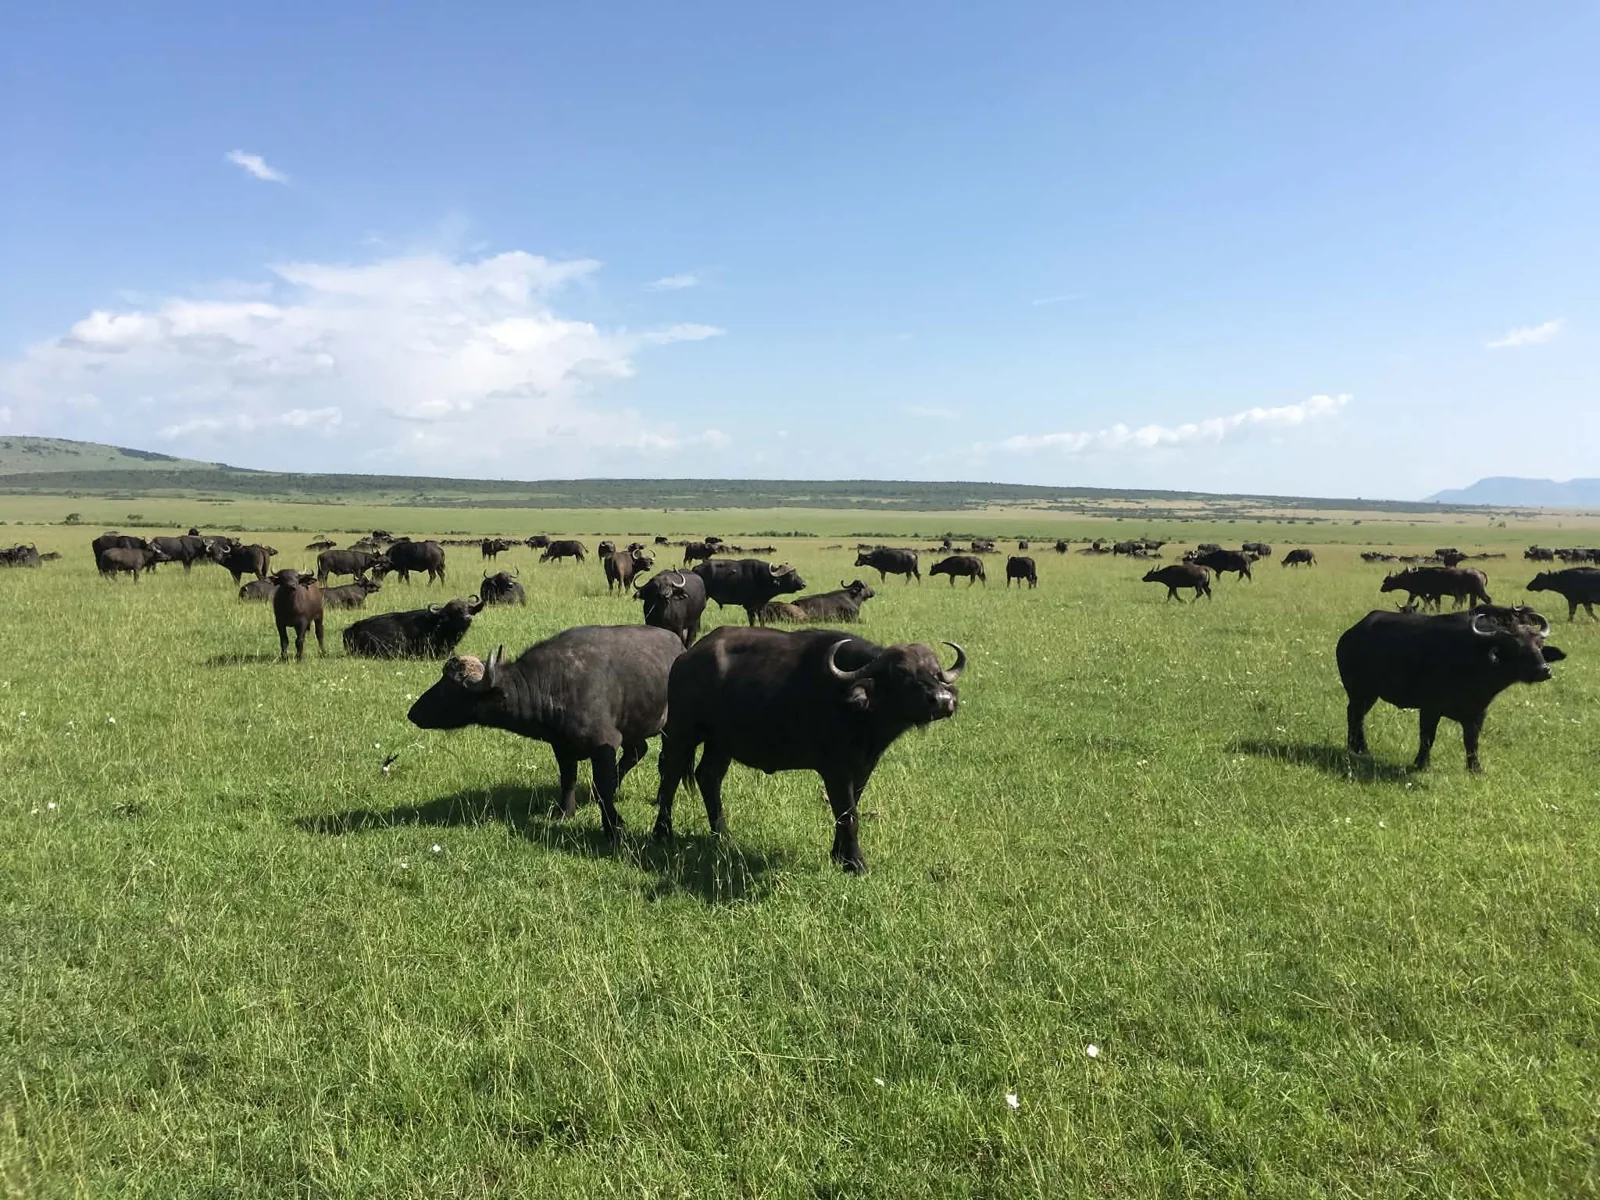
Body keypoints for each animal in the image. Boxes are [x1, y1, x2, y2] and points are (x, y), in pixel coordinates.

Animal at [409, 625, 685, 836]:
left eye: (449, 689)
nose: (412, 713)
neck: (553, 684)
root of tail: (680, 647)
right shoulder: (561, 746)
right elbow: (568, 779)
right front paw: (565, 812)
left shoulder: (604, 743)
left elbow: (602, 785)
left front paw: (612, 825)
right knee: (638, 750)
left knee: (664, 761)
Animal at [651, 628, 965, 873]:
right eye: (901, 673)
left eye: (936, 672)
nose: (943, 700)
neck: (860, 712)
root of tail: (685, 658)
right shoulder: (835, 769)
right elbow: (849, 815)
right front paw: (856, 864)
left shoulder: (863, 767)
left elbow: (848, 809)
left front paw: (839, 856)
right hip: (681, 733)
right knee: (670, 777)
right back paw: (662, 832)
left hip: (721, 742)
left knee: (708, 776)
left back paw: (723, 834)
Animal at [1337, 605, 1565, 772]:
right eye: (1516, 647)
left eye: (1539, 645)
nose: (1544, 670)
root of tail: (1349, 635)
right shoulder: (1429, 708)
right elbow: (1427, 737)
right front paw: (1422, 764)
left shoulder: (1478, 713)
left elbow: (1471, 742)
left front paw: (1475, 768)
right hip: (1358, 691)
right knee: (1354, 715)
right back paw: (1356, 748)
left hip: (1370, 694)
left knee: (1358, 716)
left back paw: (1359, 748)